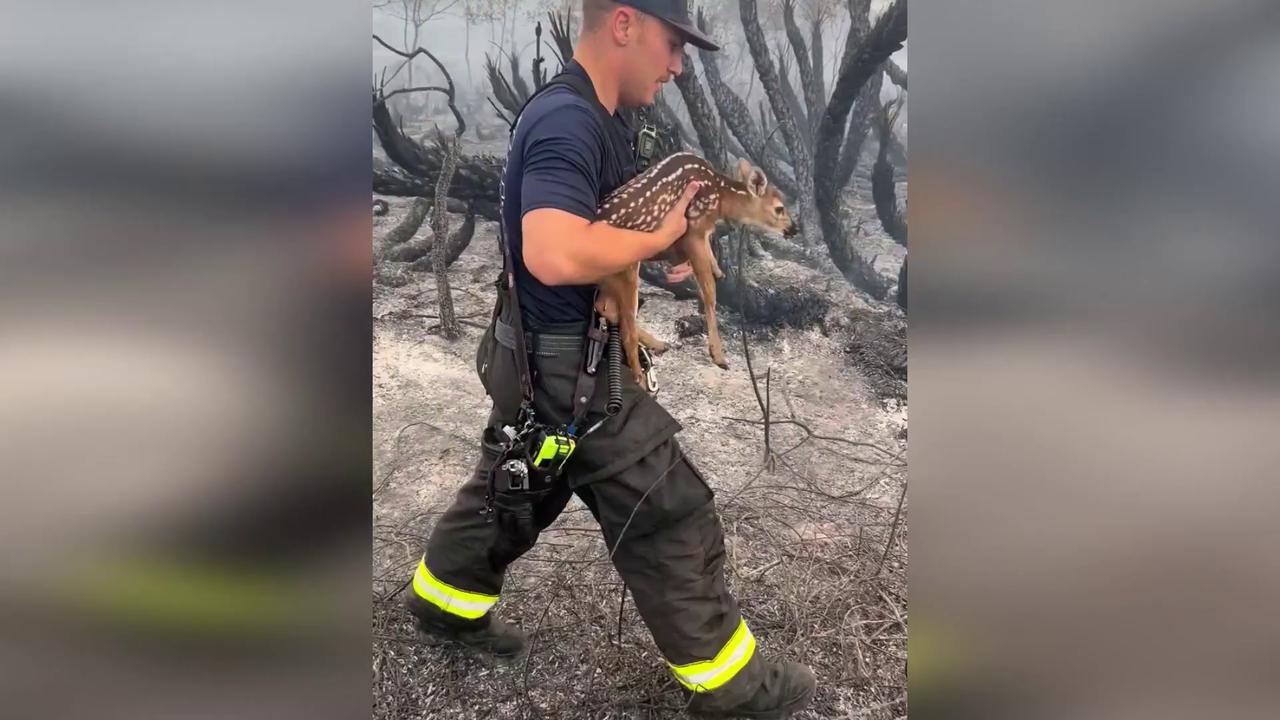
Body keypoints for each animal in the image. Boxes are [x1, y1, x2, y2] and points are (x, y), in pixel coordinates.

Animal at [594, 152, 797, 390]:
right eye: (779, 208)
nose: (794, 229)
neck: (720, 197)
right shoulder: (694, 229)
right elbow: (710, 293)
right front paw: (718, 356)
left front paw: (718, 269)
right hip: (627, 269)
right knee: (625, 326)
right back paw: (640, 378)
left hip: (610, 278)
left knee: (606, 307)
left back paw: (659, 344)